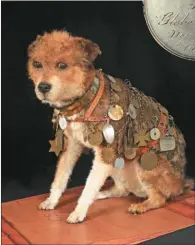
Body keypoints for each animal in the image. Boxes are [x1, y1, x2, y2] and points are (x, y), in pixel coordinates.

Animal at [27, 29, 193, 223]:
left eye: (62, 65)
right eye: (37, 64)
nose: (43, 87)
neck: (86, 99)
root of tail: (181, 184)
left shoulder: (106, 153)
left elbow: (89, 185)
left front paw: (79, 212)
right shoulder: (72, 147)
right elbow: (60, 177)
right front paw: (52, 201)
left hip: (143, 165)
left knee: (160, 198)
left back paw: (141, 206)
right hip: (118, 165)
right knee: (122, 190)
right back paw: (101, 194)